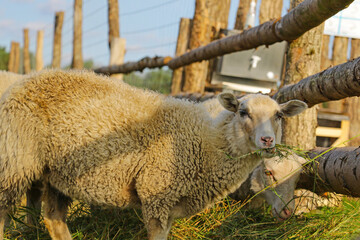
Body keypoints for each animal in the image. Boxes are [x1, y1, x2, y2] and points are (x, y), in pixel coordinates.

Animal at [0, 68, 306, 239]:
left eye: (279, 115)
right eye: (243, 112)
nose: (267, 140)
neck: (206, 140)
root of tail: (29, 79)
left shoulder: (170, 204)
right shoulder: (157, 194)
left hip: (57, 172)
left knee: (53, 218)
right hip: (14, 162)